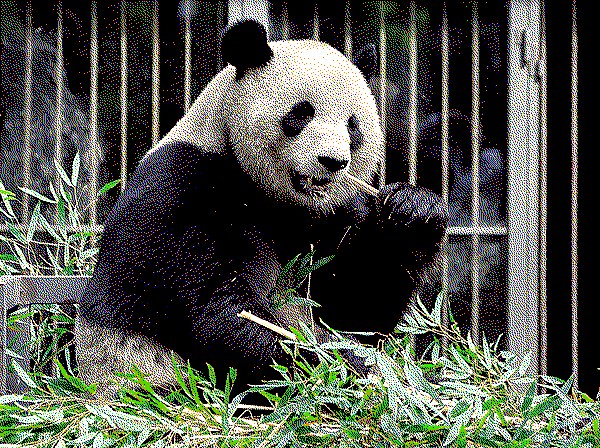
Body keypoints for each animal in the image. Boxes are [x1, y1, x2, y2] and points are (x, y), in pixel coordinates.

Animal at [75, 19, 448, 404]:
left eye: (352, 125)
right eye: (301, 113)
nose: (332, 161)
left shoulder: (333, 216)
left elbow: (357, 309)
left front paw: (413, 210)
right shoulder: (186, 190)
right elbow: (227, 312)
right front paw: (345, 370)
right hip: (140, 371)